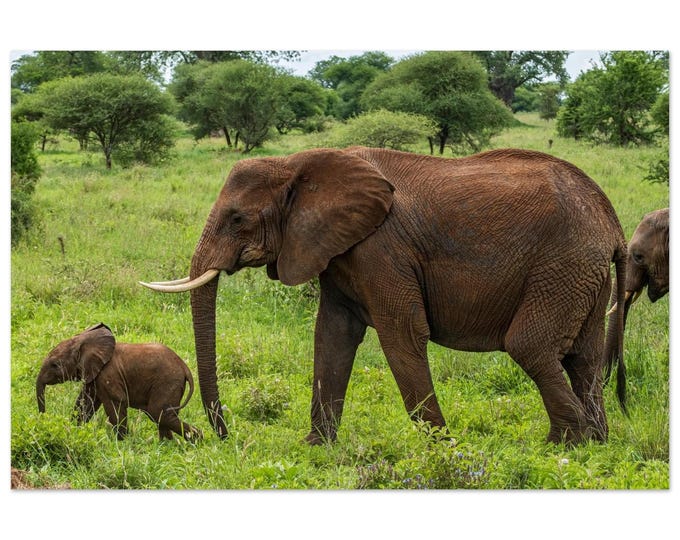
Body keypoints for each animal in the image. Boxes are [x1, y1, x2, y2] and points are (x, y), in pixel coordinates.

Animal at [36, 323, 202, 441]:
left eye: (55, 365)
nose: (44, 420)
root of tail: (185, 367)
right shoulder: (94, 375)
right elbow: (85, 402)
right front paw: (74, 430)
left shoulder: (108, 374)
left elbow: (115, 403)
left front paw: (121, 443)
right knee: (163, 417)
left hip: (168, 382)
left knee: (159, 413)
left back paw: (196, 440)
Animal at [141, 146, 627, 445]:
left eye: (238, 218)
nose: (224, 435)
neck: (298, 162)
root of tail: (613, 224)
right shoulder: (337, 250)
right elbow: (332, 335)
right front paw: (316, 448)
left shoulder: (381, 248)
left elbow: (402, 333)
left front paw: (444, 449)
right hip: (583, 274)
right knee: (583, 357)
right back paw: (595, 443)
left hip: (562, 264)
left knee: (530, 345)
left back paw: (562, 443)